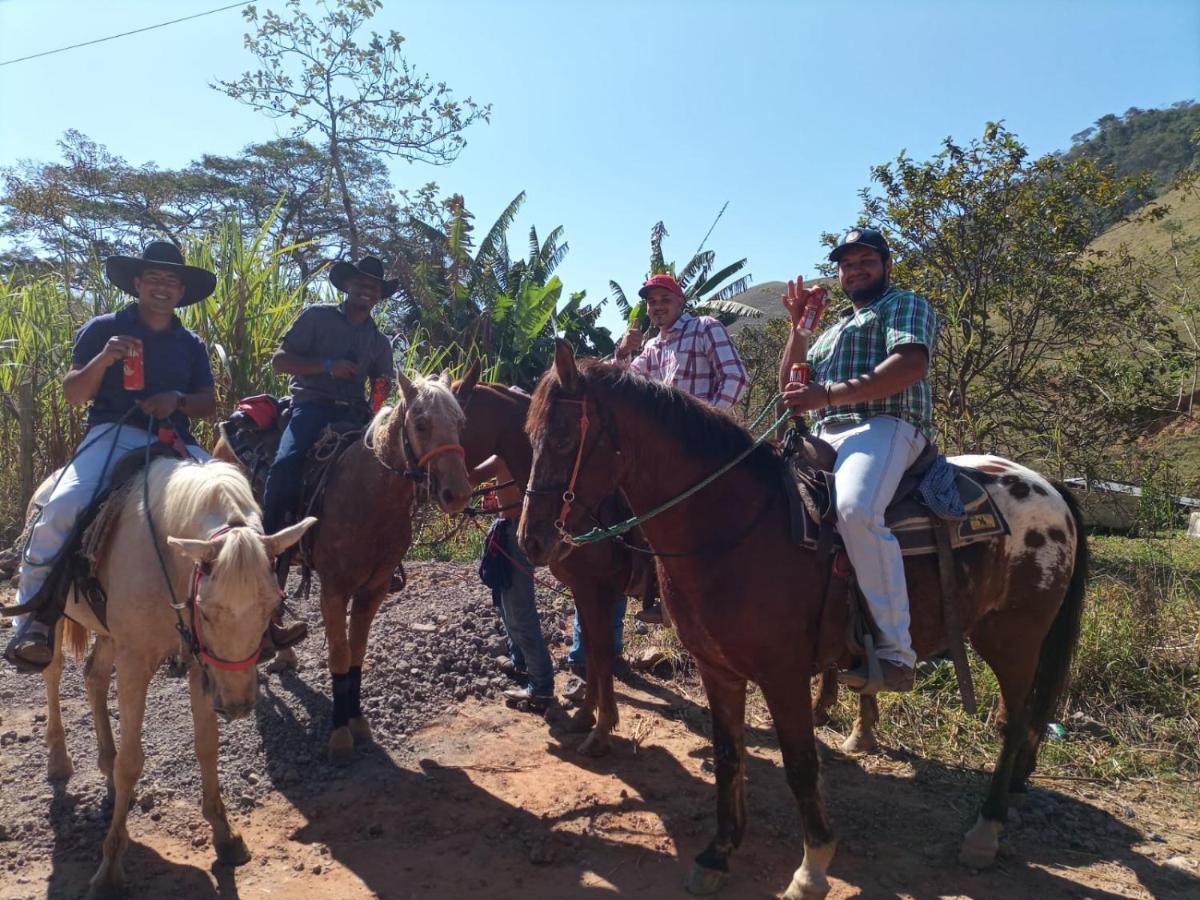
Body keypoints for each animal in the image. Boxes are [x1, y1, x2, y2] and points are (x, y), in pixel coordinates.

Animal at [216, 369, 472, 763]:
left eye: (460, 423)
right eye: (421, 423)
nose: (456, 494)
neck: (369, 497)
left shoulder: (374, 591)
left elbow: (357, 653)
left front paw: (357, 720)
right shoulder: (334, 591)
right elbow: (338, 654)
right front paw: (339, 734)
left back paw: (282, 646)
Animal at [453, 376, 657, 758]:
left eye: (451, 421)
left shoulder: (595, 588)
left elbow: (600, 652)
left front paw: (602, 730)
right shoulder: (582, 589)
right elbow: (590, 648)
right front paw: (585, 716)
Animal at [516, 343, 1089, 900]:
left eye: (563, 437)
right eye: (528, 437)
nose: (531, 541)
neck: (734, 525)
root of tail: (1046, 486)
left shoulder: (783, 675)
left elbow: (799, 765)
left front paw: (811, 869)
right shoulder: (717, 670)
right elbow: (729, 756)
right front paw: (718, 853)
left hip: (1014, 638)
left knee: (1014, 722)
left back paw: (985, 831)